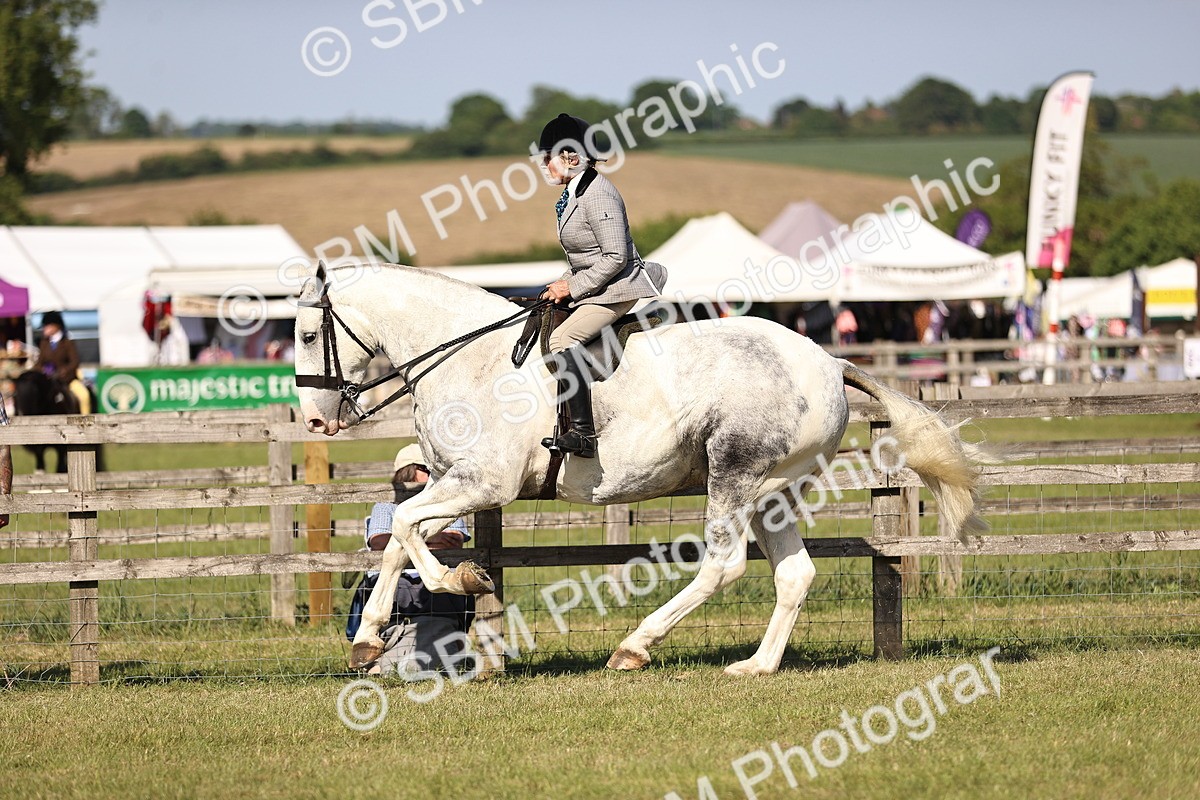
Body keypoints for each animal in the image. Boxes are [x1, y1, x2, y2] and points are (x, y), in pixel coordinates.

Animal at [294, 263, 987, 676]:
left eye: (304, 335)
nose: (315, 422)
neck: (468, 358)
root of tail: (826, 361)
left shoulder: (482, 483)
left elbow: (406, 529)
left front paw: (458, 580)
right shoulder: (452, 484)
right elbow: (398, 538)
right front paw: (368, 638)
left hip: (732, 475)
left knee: (723, 565)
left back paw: (634, 647)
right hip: (772, 492)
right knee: (794, 574)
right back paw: (756, 667)